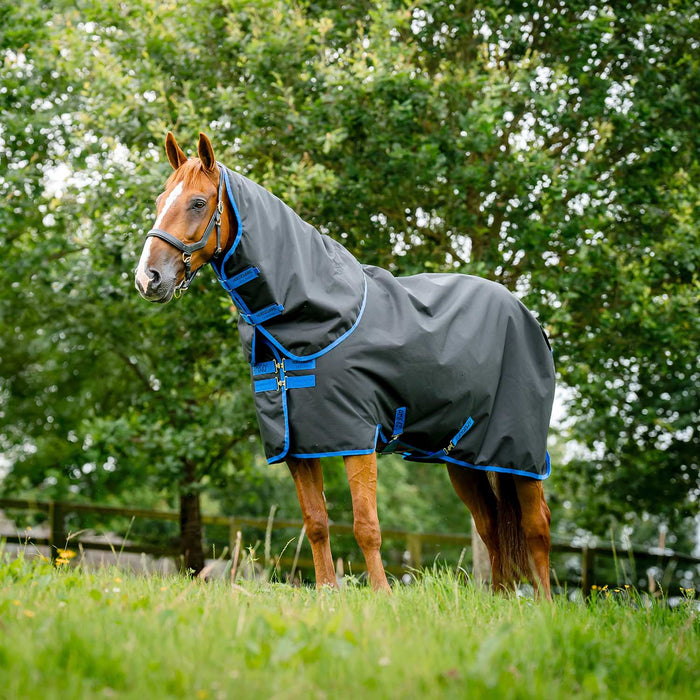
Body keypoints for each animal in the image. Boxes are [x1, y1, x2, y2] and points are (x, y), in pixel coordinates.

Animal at [136, 132, 555, 598]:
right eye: (160, 201)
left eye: (196, 202)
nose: (148, 278)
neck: (313, 315)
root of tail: (527, 315)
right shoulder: (298, 443)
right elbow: (316, 523)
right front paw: (327, 592)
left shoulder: (356, 437)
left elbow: (366, 525)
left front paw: (381, 594)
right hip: (465, 458)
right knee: (490, 525)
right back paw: (501, 598)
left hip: (519, 452)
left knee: (536, 526)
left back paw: (544, 604)